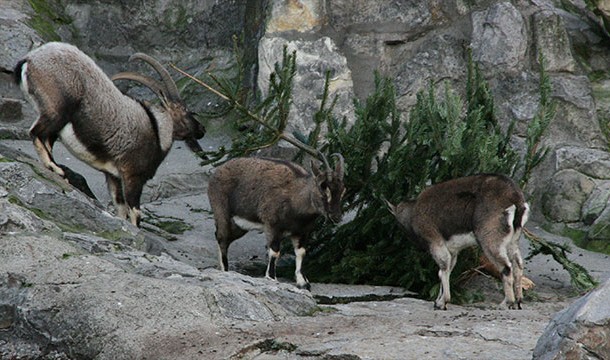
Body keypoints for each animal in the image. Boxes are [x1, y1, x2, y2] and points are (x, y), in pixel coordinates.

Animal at [13, 43, 204, 225]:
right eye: (187, 111)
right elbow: (135, 212)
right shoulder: (132, 175)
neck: (157, 129)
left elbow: (120, 207)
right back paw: (57, 170)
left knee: (44, 138)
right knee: (35, 132)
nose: (202, 130)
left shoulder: (113, 176)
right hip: (57, 110)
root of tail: (29, 60)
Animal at [208, 155, 342, 290]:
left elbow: (301, 252)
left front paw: (303, 282)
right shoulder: (273, 226)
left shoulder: (302, 231)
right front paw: (271, 277)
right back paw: (224, 270)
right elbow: (274, 252)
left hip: (240, 226)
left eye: (343, 191)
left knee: (223, 237)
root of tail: (217, 172)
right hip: (222, 212)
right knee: (222, 238)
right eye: (323, 190)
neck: (295, 196)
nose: (336, 217)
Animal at [390, 174, 528, 310]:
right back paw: (519, 301)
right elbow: (447, 270)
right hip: (513, 241)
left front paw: (442, 303)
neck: (414, 212)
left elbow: (442, 270)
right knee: (518, 265)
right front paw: (438, 301)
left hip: (490, 239)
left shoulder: (435, 241)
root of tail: (515, 199)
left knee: (506, 267)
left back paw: (506, 303)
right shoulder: (453, 250)